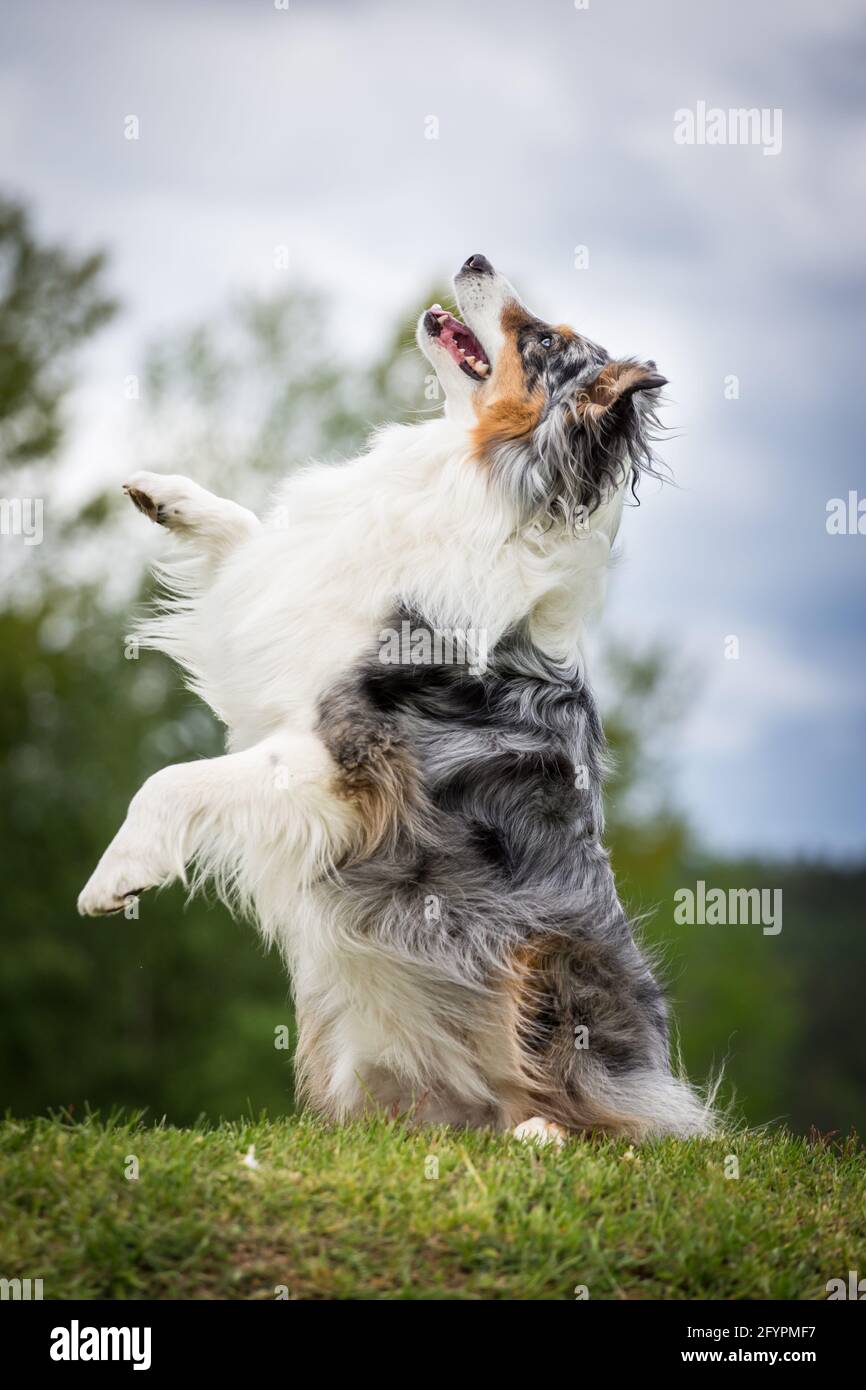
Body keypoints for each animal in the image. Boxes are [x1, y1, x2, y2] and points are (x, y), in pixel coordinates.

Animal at [77, 255, 711, 1145]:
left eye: (545, 341)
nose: (476, 257)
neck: (470, 474)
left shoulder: (352, 760)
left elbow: (171, 779)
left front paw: (120, 874)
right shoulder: (294, 599)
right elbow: (252, 539)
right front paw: (165, 493)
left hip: (543, 957)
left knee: (591, 1110)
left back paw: (539, 1133)